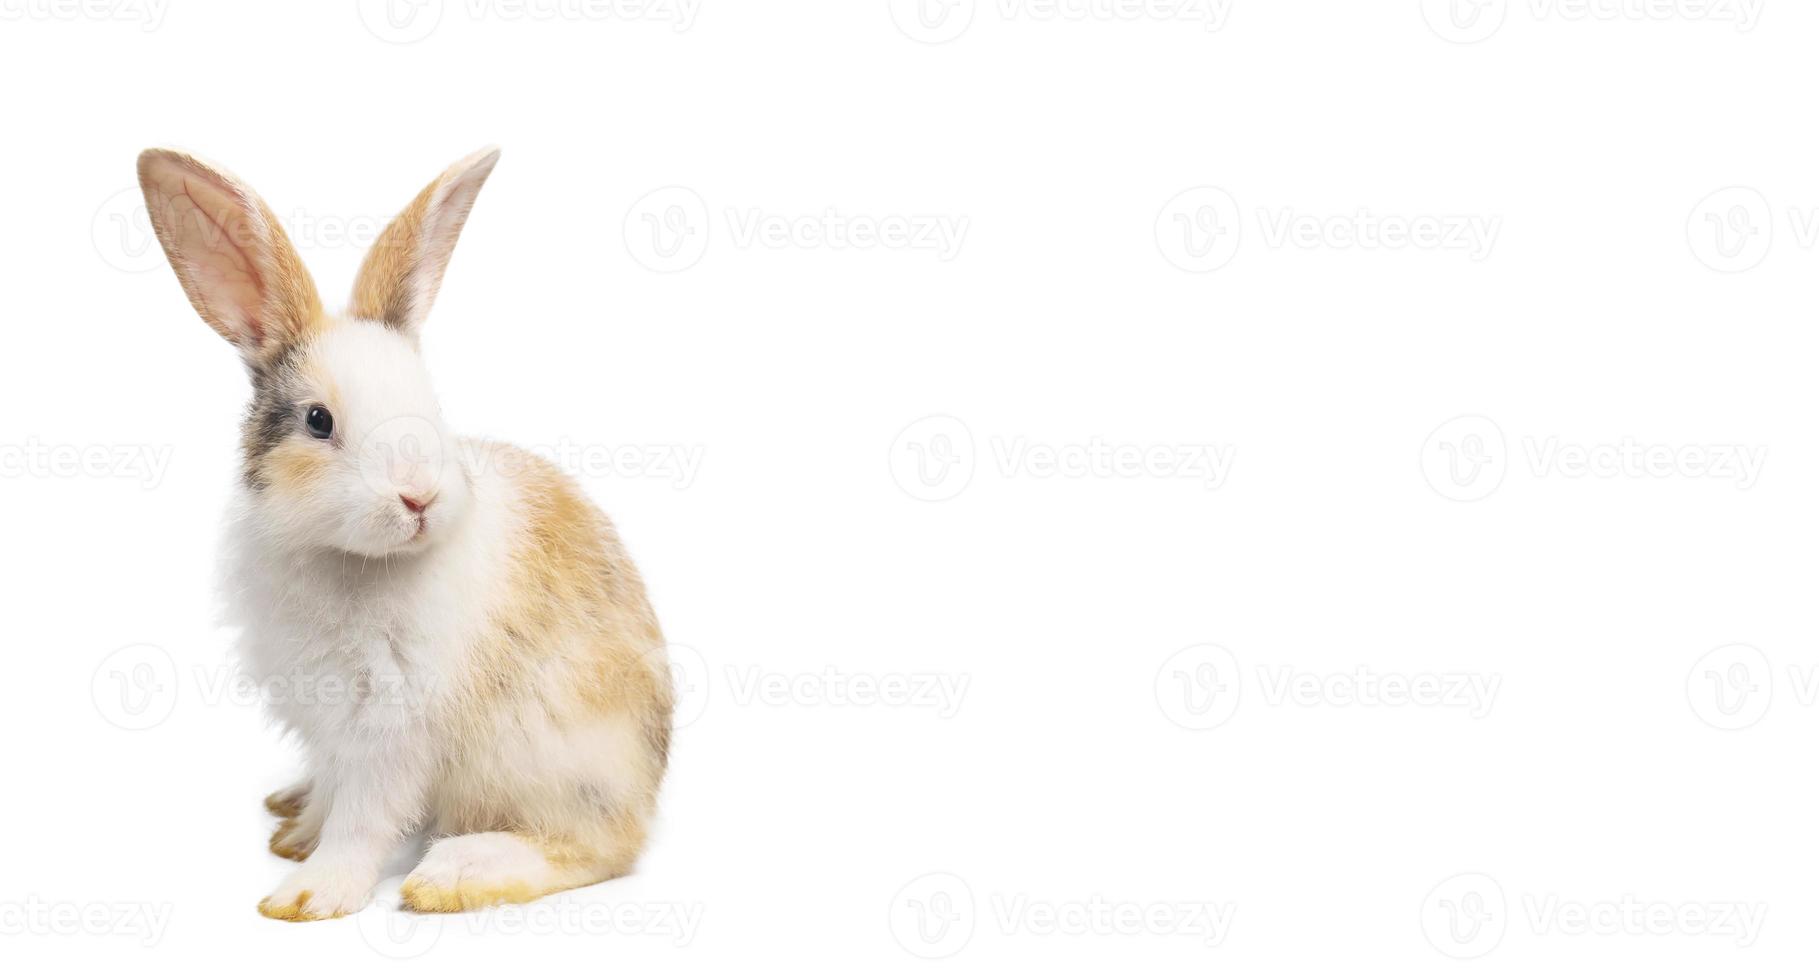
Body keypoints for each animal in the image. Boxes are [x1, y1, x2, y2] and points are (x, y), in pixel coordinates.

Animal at [136, 145, 676, 920]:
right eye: (319, 421)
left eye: (430, 405)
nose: (419, 496)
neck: (353, 557)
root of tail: (648, 788)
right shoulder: (330, 724)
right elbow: (334, 793)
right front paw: (297, 836)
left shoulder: (390, 728)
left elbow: (363, 818)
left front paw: (308, 894)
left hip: (556, 768)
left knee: (598, 848)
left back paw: (456, 873)